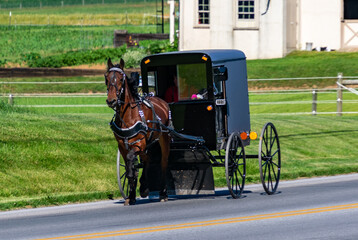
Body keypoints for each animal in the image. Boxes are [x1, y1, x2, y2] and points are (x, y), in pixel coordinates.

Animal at [104, 57, 171, 204]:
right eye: (106, 77)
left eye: (121, 78)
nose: (111, 100)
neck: (128, 115)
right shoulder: (122, 145)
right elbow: (129, 166)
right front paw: (131, 196)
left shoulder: (139, 142)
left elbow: (131, 163)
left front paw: (138, 187)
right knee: (147, 159)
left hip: (164, 139)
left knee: (163, 162)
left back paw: (163, 193)